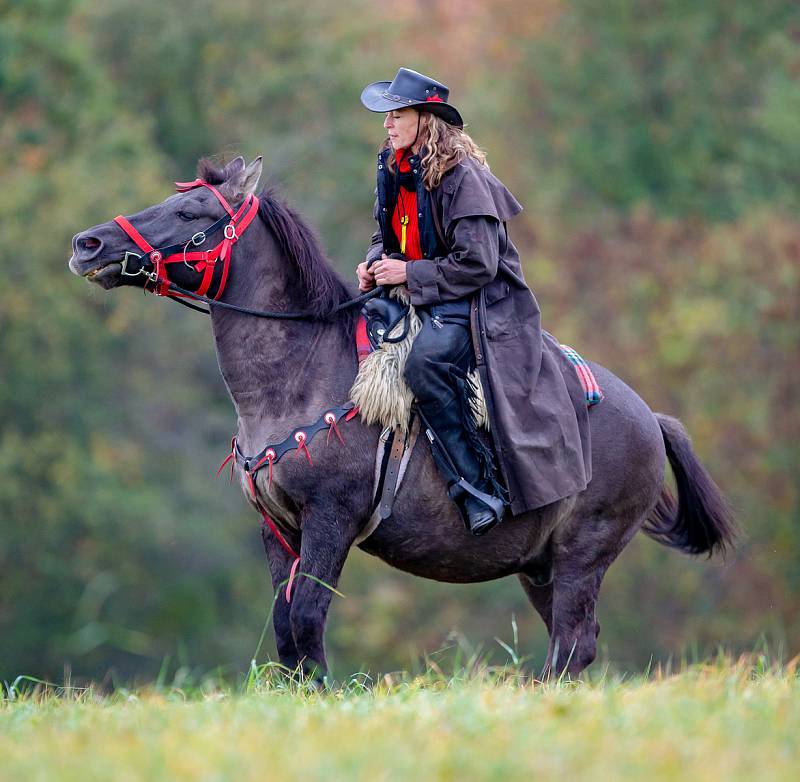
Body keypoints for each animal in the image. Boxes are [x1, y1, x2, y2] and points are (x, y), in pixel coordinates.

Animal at [69, 156, 736, 684]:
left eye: (191, 211)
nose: (87, 245)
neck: (301, 373)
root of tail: (650, 418)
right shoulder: (277, 525)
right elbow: (285, 627)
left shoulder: (332, 517)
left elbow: (307, 617)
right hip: (539, 566)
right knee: (571, 644)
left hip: (582, 553)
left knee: (573, 643)